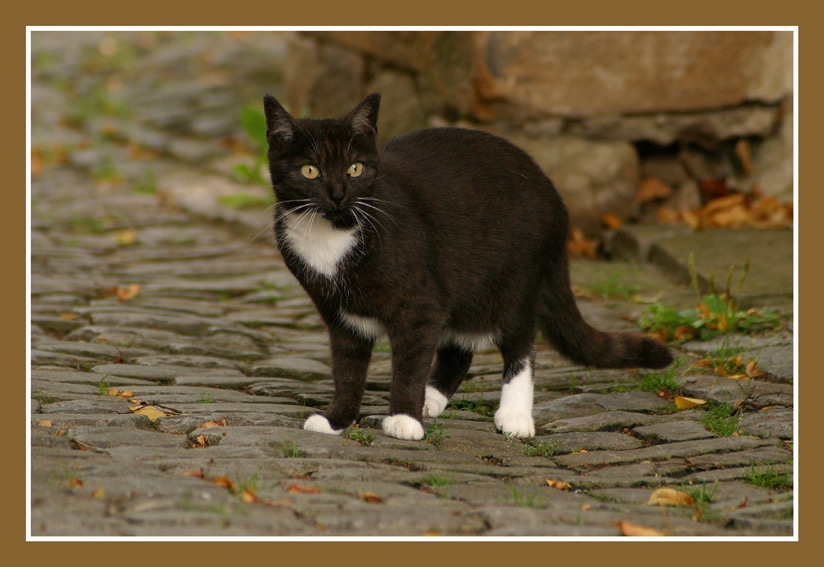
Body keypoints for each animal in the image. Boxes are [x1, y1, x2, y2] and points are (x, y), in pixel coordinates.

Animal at [262, 93, 668, 442]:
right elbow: (347, 369)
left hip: (516, 281)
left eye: (355, 168)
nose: (337, 194)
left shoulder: (419, 304)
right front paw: (337, 420)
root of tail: (555, 197)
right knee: (460, 350)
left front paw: (405, 419)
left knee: (521, 344)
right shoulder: (342, 316)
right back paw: (431, 400)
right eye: (310, 170)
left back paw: (514, 416)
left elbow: (409, 363)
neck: (332, 235)